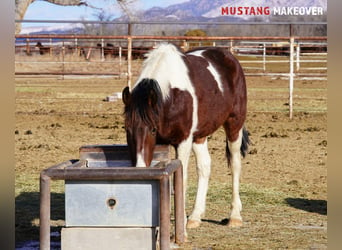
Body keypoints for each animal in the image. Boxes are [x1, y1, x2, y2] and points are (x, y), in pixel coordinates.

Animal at [121, 43, 250, 234]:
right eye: (127, 128)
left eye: (152, 129)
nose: (139, 167)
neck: (171, 95)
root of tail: (229, 57)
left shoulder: (183, 141)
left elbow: (180, 180)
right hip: (199, 137)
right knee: (204, 167)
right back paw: (195, 216)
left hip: (234, 125)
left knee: (235, 165)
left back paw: (234, 216)